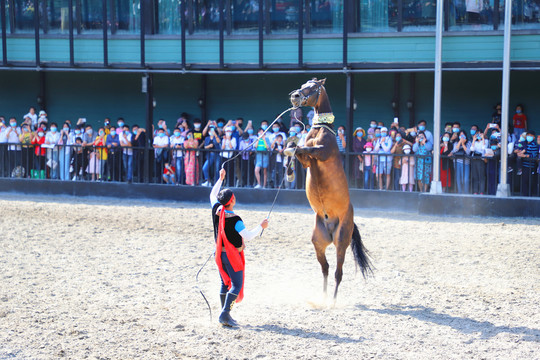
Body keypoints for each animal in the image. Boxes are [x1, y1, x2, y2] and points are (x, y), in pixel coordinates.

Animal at [282, 78, 372, 298]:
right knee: (326, 268)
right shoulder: (308, 161)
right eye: (303, 85)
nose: (295, 96)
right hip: (318, 242)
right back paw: (322, 297)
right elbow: (295, 149)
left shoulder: (321, 153)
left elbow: (303, 148)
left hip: (341, 241)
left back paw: (331, 301)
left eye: (313, 87)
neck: (320, 129)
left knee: (338, 273)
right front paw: (289, 170)